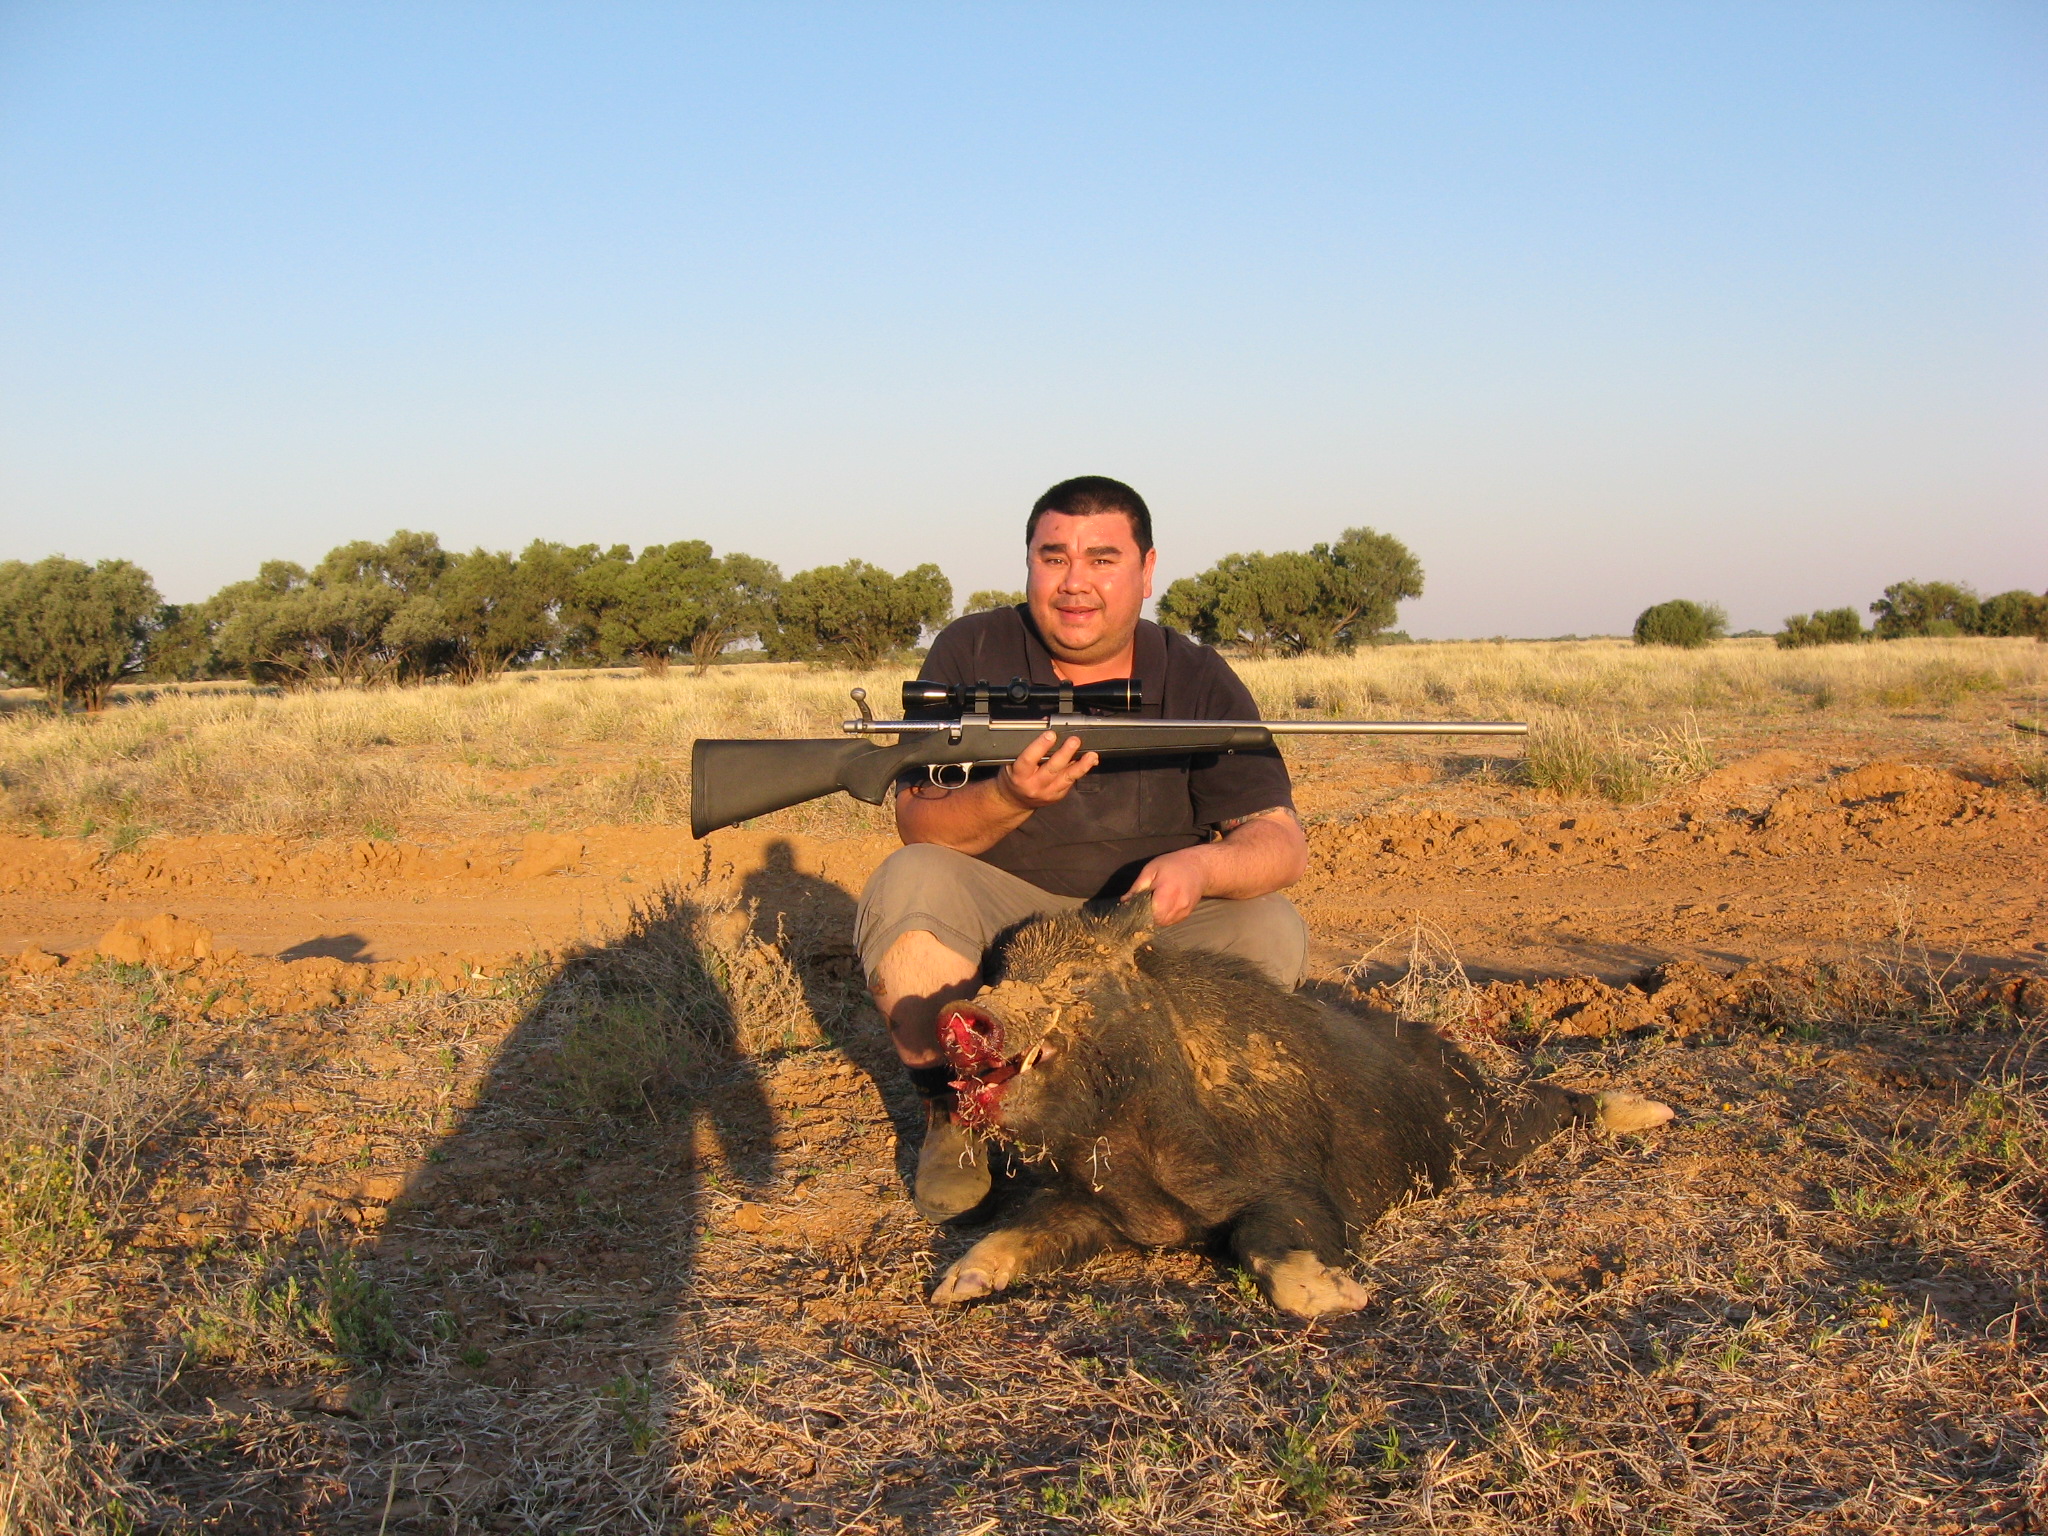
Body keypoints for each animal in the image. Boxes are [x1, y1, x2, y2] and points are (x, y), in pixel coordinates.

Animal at [930, 895, 1673, 1320]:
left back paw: (1653, 1114)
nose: (963, 1013)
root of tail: (1451, 1054)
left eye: (1078, 977)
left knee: (1549, 1104)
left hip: (1479, 1137)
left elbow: (1271, 1243)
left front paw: (1343, 1299)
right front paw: (951, 1288)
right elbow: (1012, 1232)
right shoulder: (1093, 1208)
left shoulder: (1291, 1184)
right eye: (999, 976)